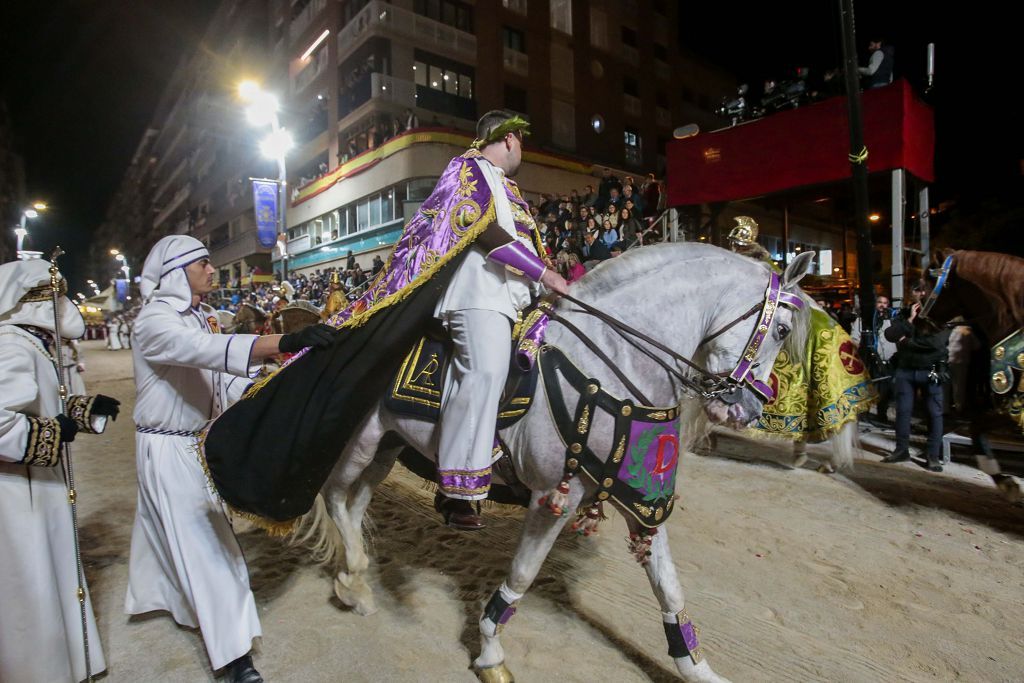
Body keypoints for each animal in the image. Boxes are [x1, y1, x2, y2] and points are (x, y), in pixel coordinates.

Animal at [296, 242, 815, 679]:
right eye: (782, 330)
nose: (748, 410)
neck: (612, 367)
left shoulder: (642, 502)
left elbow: (669, 586)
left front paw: (697, 668)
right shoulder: (552, 499)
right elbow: (521, 576)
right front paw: (490, 654)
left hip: (388, 447)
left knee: (356, 503)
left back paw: (357, 574)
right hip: (360, 442)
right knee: (336, 494)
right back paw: (354, 584)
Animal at [921, 249, 1024, 501]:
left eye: (923, 285)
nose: (918, 323)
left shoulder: (1013, 404)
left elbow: (977, 428)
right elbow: (977, 429)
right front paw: (1005, 481)